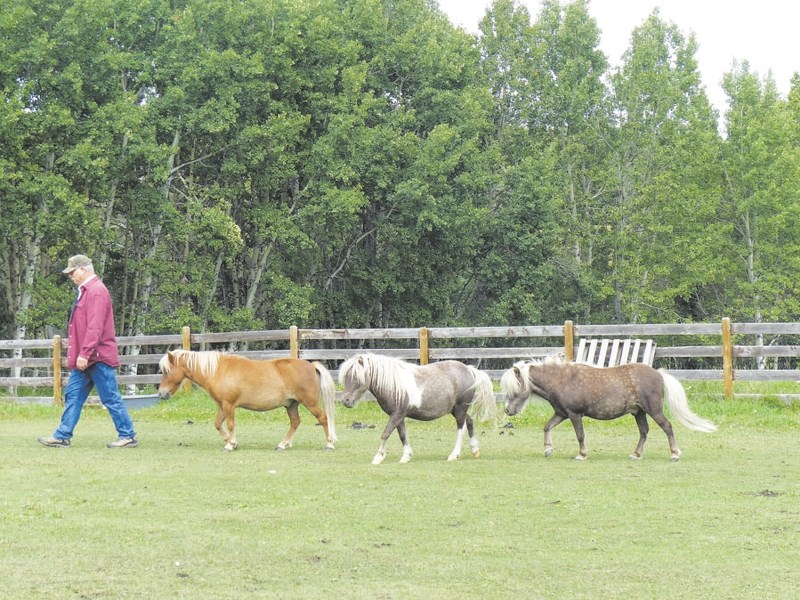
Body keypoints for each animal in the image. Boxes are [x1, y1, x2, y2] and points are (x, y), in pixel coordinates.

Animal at [159, 350, 338, 452]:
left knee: (323, 419)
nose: (161, 393)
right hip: (291, 405)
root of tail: (311, 365)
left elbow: (230, 424)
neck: (217, 370)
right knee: (295, 422)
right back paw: (283, 444)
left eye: (166, 371)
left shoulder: (229, 405)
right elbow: (217, 424)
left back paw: (329, 444)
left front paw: (230, 444)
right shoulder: (222, 405)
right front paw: (231, 441)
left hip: (310, 403)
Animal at [340, 354, 500, 466]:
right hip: (457, 410)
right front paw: (406, 456)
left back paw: (454, 455)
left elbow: (385, 434)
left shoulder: (397, 414)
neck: (394, 384)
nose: (346, 401)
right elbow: (402, 435)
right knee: (470, 422)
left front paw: (378, 457)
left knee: (461, 429)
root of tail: (470, 370)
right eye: (346, 376)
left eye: (356, 377)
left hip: (460, 409)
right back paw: (475, 450)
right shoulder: (399, 416)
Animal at [500, 358, 720, 462]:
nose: (508, 411)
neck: (561, 380)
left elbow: (580, 435)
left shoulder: (574, 414)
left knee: (667, 427)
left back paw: (674, 454)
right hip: (639, 412)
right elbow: (547, 427)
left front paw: (582, 455)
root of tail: (658, 373)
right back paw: (636, 454)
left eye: (514, 389)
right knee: (644, 432)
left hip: (653, 410)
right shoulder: (562, 414)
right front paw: (547, 449)